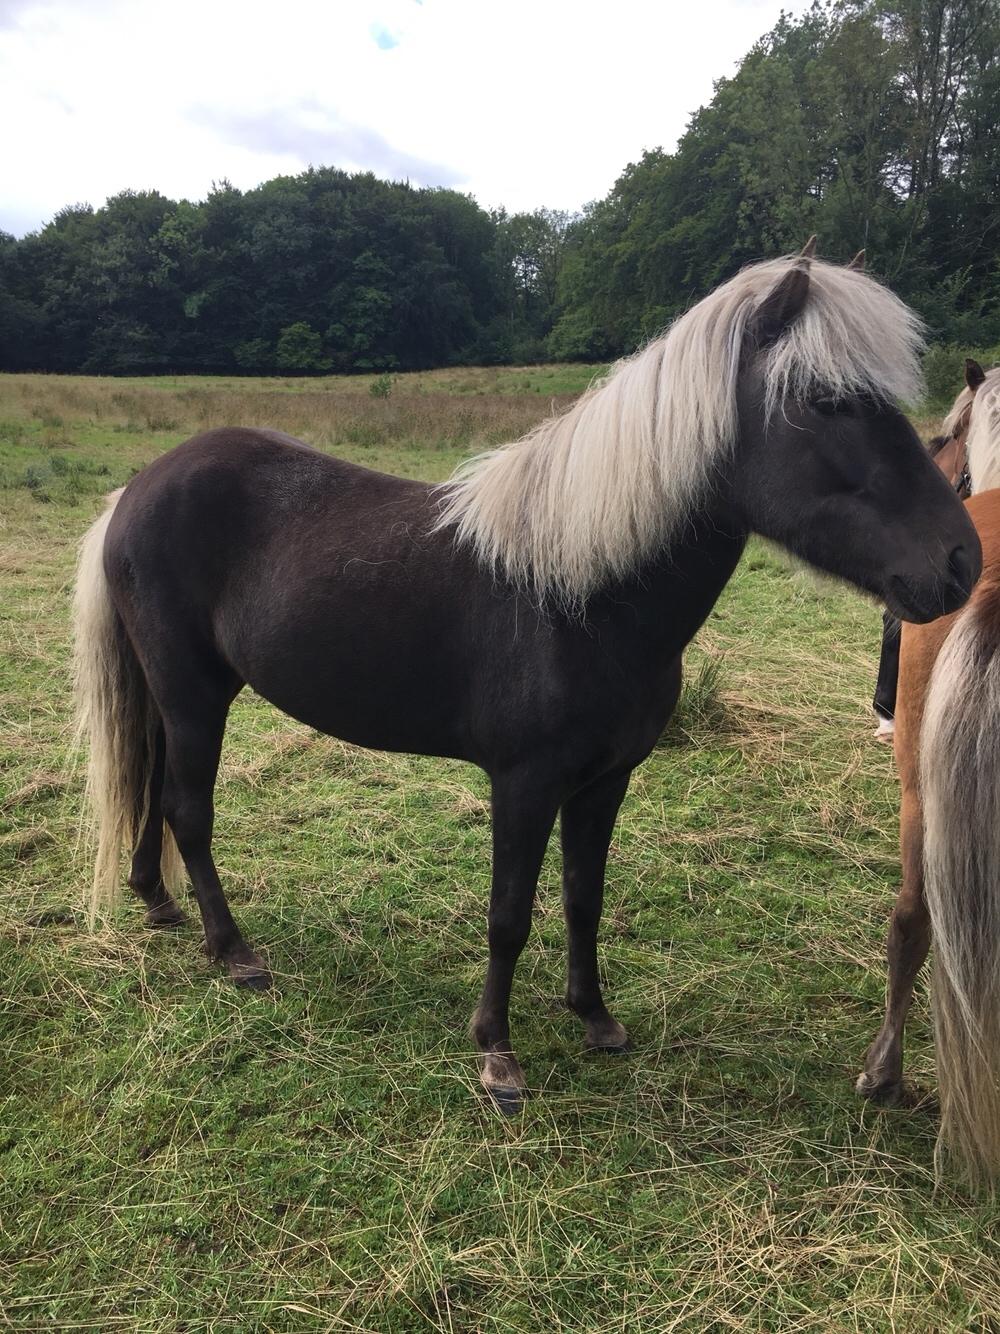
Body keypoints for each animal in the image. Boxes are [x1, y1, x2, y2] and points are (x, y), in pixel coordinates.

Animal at [76, 248, 981, 1104]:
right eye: (827, 401)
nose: (961, 561)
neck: (578, 597)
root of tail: (137, 487)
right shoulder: (524, 783)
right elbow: (509, 914)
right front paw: (497, 1054)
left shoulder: (605, 781)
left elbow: (584, 896)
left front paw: (595, 1018)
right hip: (195, 696)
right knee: (188, 810)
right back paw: (233, 952)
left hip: (177, 695)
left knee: (152, 788)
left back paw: (156, 901)